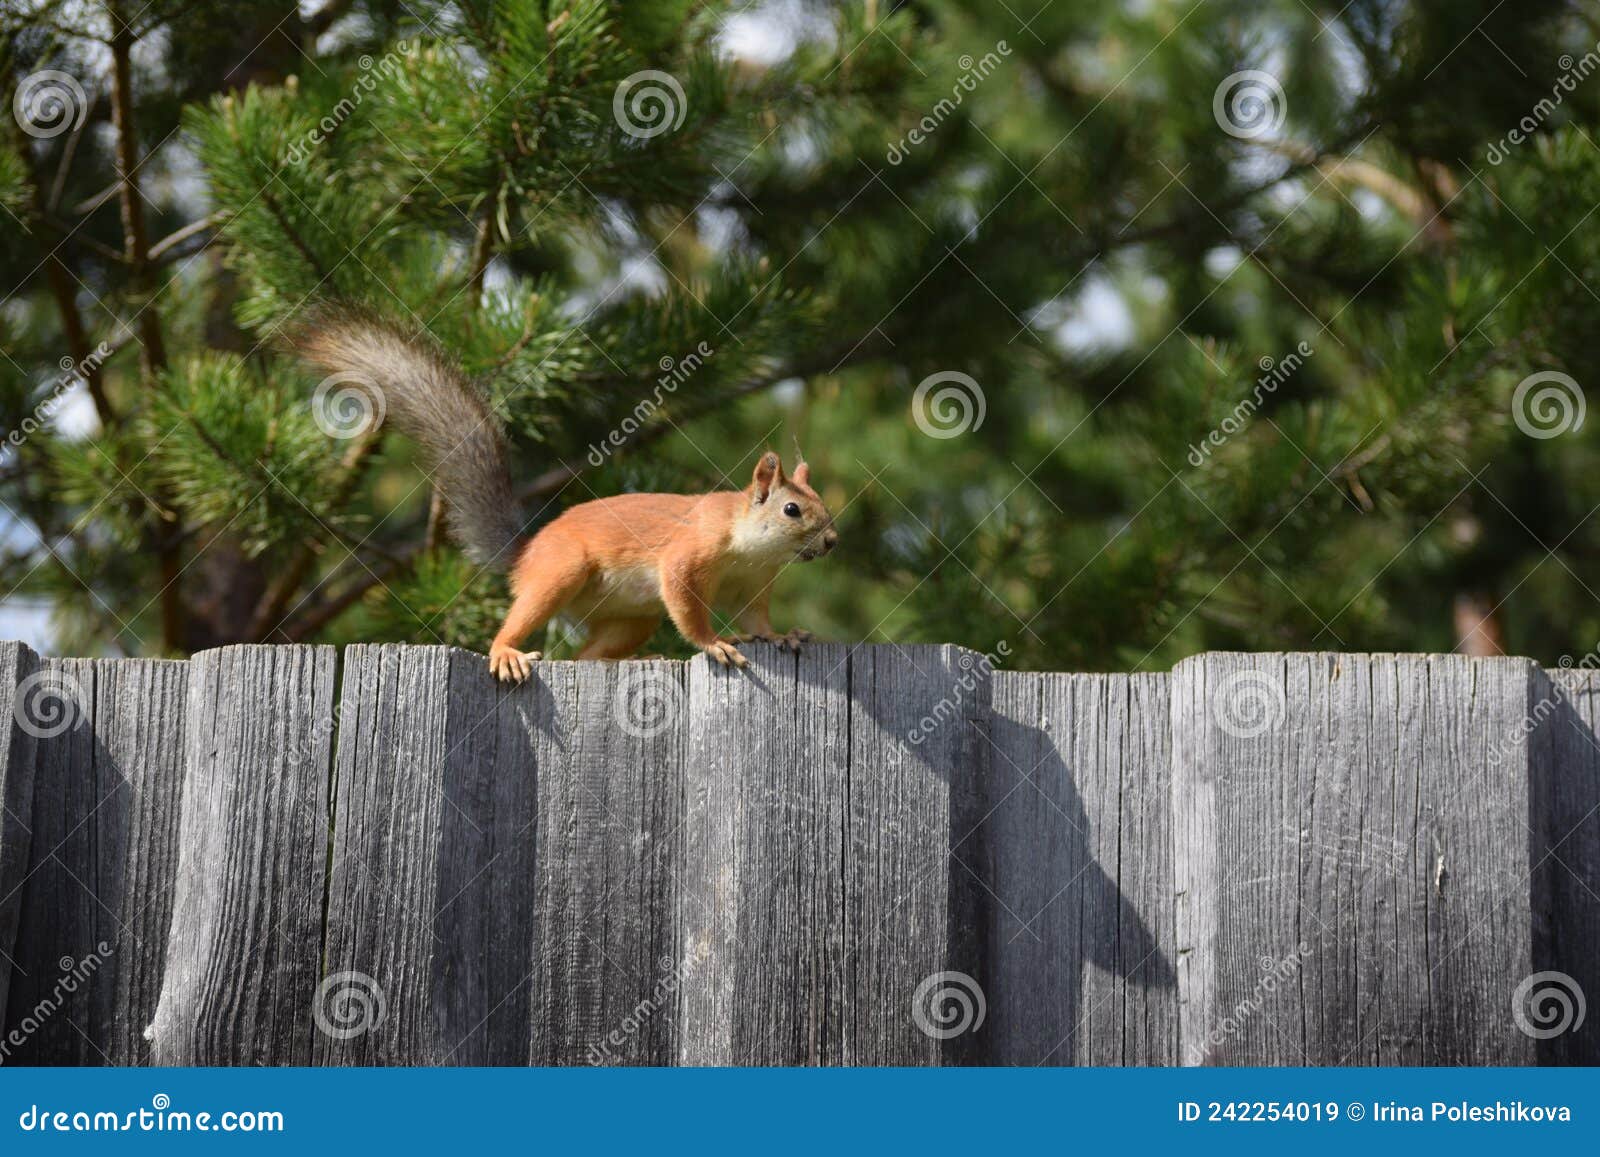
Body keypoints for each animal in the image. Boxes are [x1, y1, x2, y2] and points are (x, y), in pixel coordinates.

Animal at [295, 309, 838, 682]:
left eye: (822, 504)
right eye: (792, 509)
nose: (833, 542)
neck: (751, 548)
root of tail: (526, 554)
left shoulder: (753, 586)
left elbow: (757, 619)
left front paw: (782, 635)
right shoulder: (689, 556)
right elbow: (687, 605)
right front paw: (714, 643)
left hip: (630, 619)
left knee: (587, 657)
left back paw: (635, 659)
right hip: (561, 571)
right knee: (527, 625)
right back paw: (507, 653)